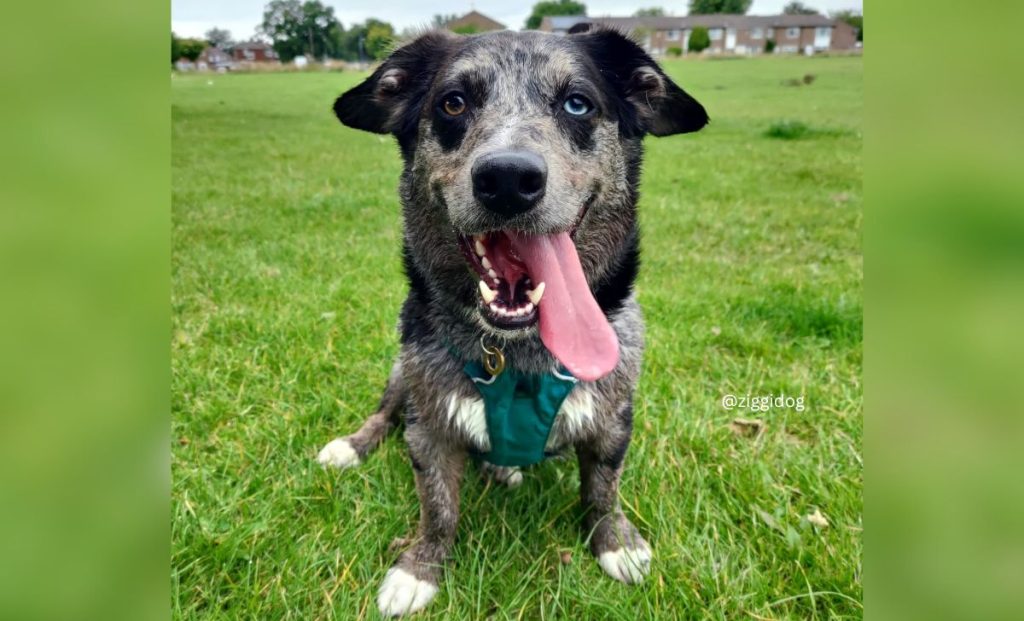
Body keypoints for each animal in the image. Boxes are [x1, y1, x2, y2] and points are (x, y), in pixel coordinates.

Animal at [315, 27, 708, 618]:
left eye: (577, 103)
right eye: (453, 103)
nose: (507, 178)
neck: (520, 352)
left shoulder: (614, 417)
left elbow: (602, 488)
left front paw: (615, 542)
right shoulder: (430, 427)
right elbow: (438, 506)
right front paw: (418, 569)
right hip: (403, 371)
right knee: (385, 413)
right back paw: (352, 446)